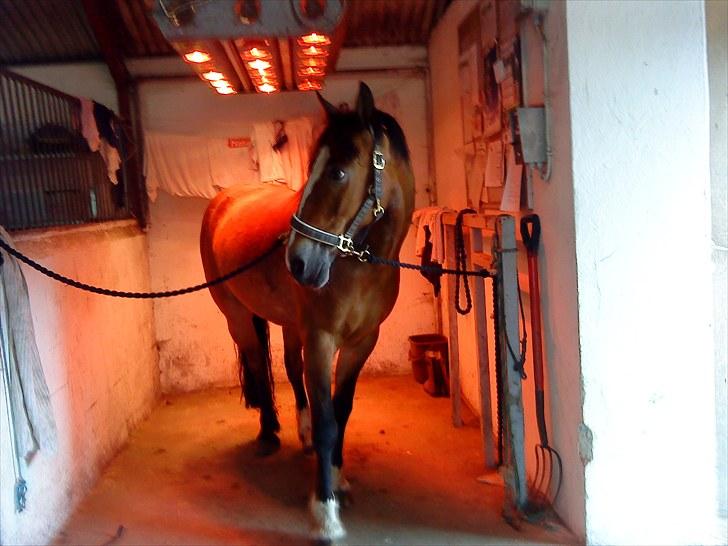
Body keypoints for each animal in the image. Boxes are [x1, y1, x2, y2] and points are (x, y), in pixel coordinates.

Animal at [199, 82, 414, 540]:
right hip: (237, 317)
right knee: (259, 364)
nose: (296, 262)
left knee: (289, 367)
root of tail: (224, 199)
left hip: (288, 323)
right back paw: (269, 433)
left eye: (337, 172)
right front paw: (325, 510)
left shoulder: (360, 344)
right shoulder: (321, 339)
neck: (357, 264)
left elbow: (340, 410)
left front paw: (338, 477)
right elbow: (328, 418)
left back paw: (303, 434)